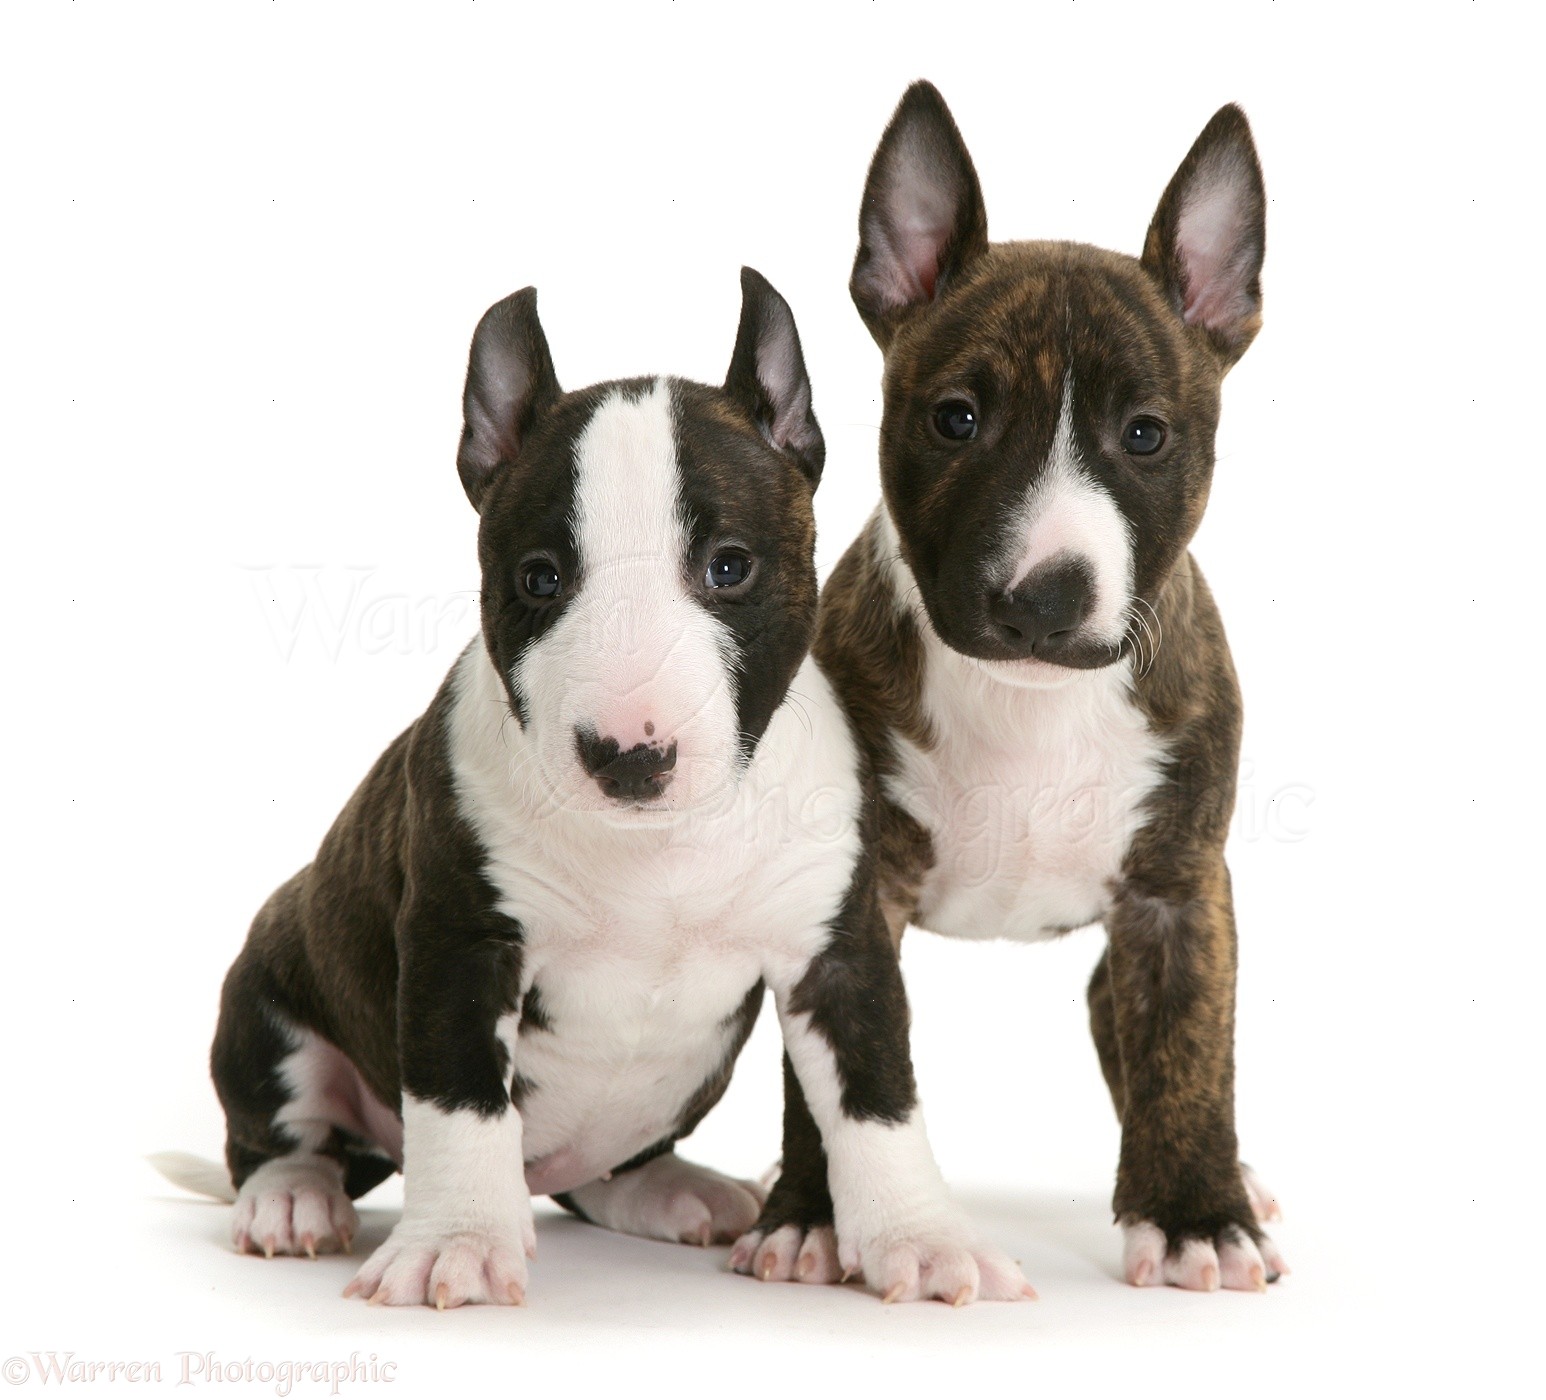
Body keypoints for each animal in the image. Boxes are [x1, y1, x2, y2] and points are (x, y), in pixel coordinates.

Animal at [172, 270, 1026, 1298]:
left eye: (729, 567)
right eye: (539, 579)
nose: (630, 754)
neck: (659, 852)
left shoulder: (840, 947)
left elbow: (878, 1096)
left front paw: (924, 1239)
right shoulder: (460, 942)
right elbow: (460, 1102)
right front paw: (456, 1244)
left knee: (602, 1177)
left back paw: (672, 1190)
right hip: (271, 986)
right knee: (275, 1137)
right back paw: (293, 1198)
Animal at [729, 84, 1286, 1285]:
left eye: (1145, 434)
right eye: (956, 418)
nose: (1045, 595)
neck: (1031, 700)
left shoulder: (1177, 890)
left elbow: (1188, 1051)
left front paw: (1196, 1214)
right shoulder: (850, 899)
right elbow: (824, 1081)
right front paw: (810, 1211)